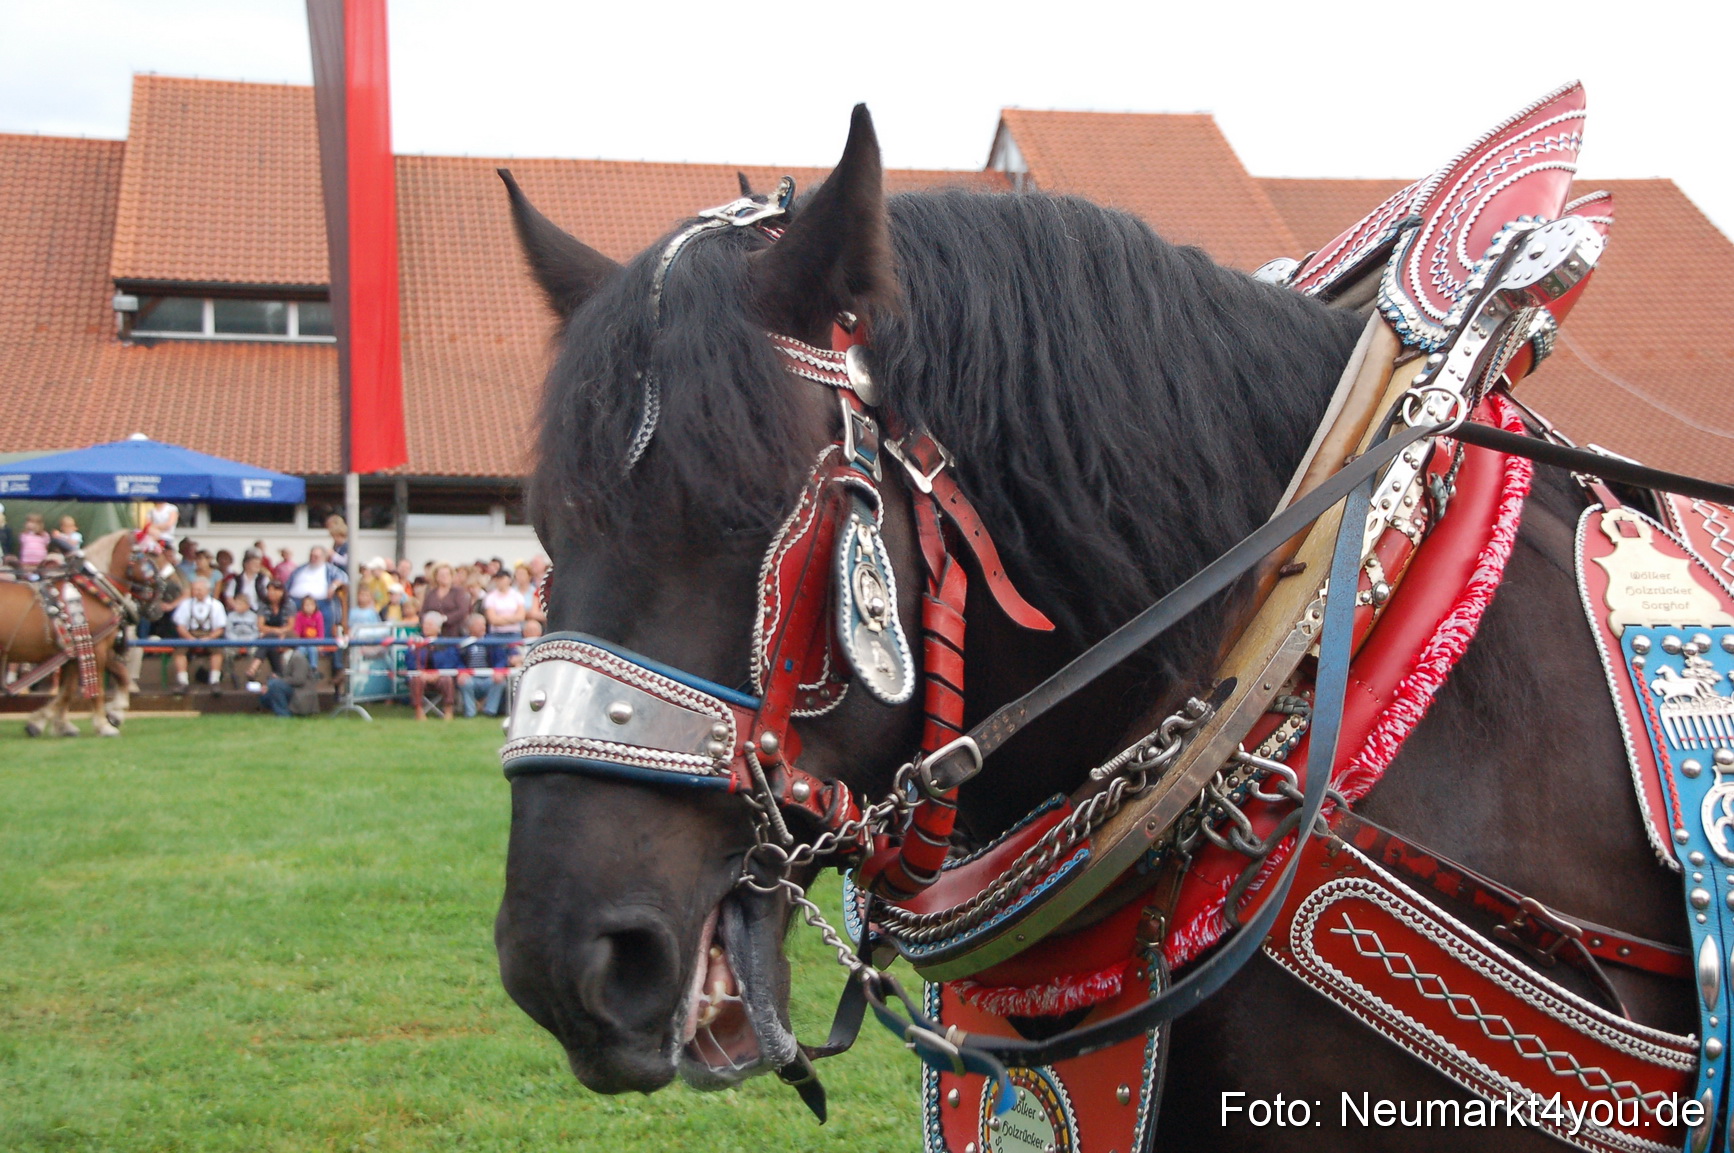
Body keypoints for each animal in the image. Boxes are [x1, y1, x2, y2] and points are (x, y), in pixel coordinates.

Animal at [1, 530, 174, 737]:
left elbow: (75, 688)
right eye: (153, 554)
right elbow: (95, 687)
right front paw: (103, 725)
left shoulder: (81, 651)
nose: (173, 590)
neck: (94, 591)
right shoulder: (95, 648)